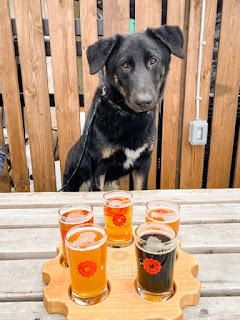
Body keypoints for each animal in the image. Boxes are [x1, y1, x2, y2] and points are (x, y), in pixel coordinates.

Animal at [62, 25, 185, 190]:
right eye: (124, 65)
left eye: (153, 60)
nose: (144, 101)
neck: (129, 115)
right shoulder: (98, 167)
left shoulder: (143, 164)